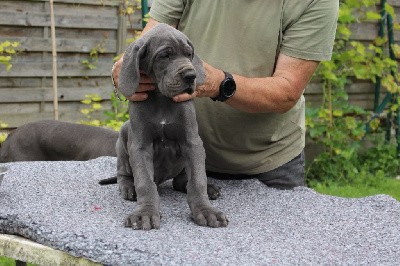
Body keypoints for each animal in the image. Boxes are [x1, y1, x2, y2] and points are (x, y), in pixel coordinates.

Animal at [115, 22, 228, 230]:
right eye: (165, 55)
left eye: (189, 54)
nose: (191, 75)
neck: (162, 98)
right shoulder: (140, 146)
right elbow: (144, 182)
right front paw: (145, 213)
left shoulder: (192, 142)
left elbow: (198, 180)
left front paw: (206, 210)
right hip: (124, 134)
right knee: (124, 172)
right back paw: (128, 187)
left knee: (182, 181)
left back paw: (209, 189)